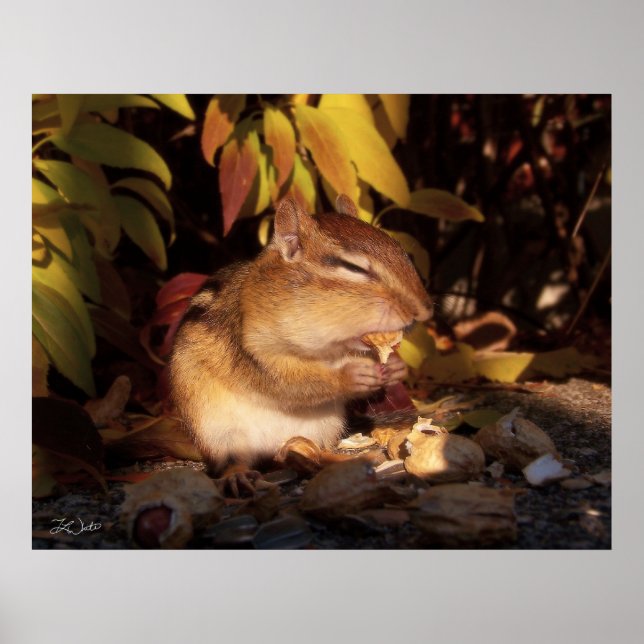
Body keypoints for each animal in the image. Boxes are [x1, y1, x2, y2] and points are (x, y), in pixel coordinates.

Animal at [169, 195, 432, 489]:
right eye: (353, 267)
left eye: (401, 252)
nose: (424, 311)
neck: (330, 347)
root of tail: (272, 449)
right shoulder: (252, 349)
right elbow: (290, 382)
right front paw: (349, 376)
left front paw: (396, 367)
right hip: (216, 432)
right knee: (233, 459)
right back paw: (236, 476)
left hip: (324, 427)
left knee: (317, 452)